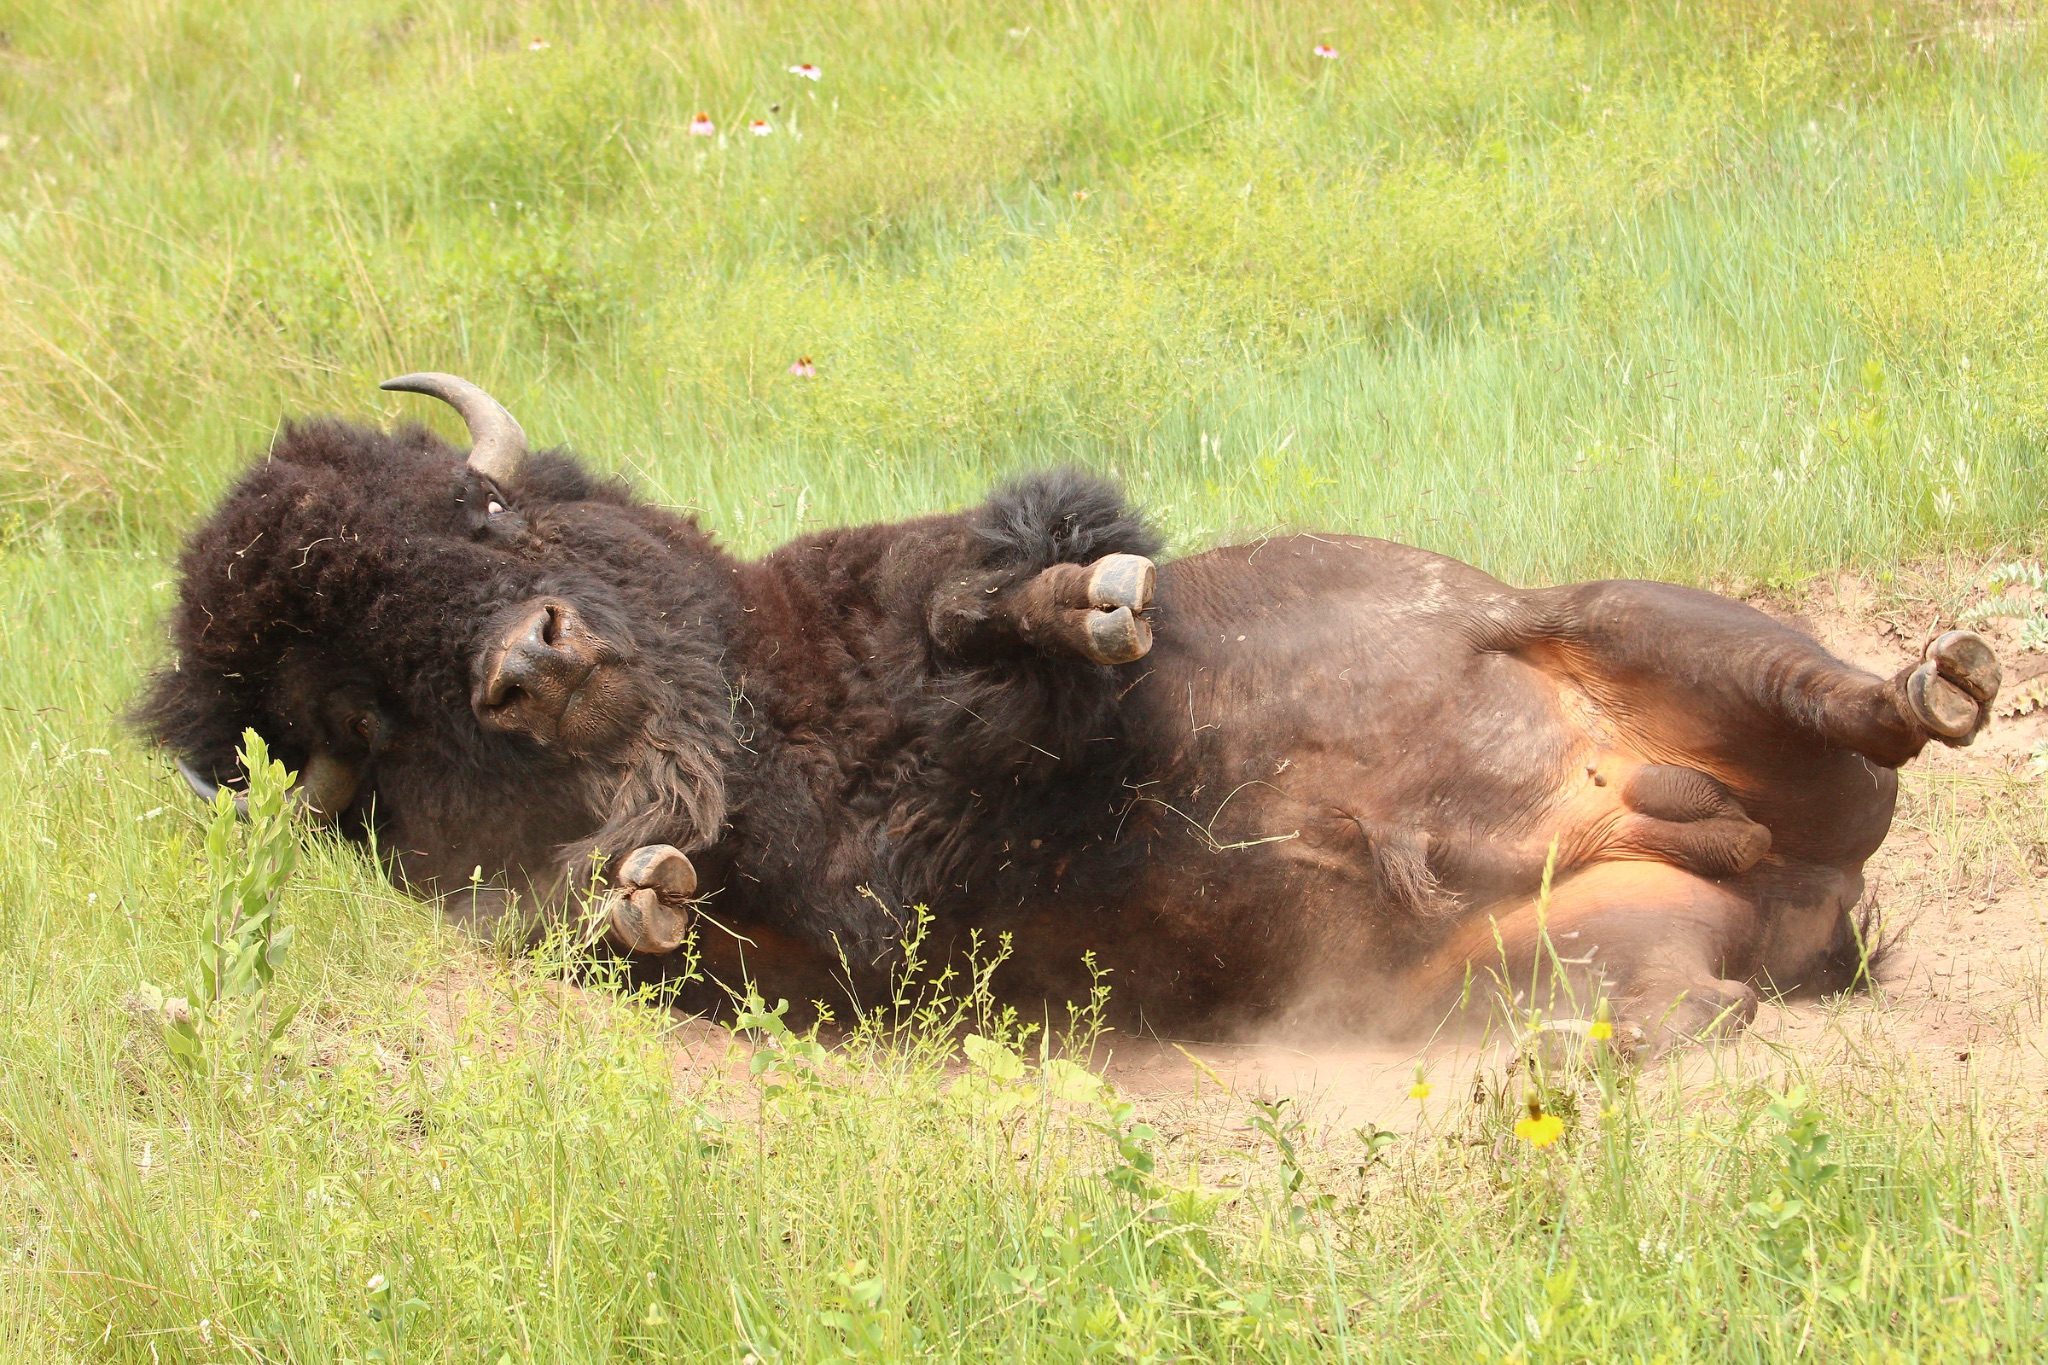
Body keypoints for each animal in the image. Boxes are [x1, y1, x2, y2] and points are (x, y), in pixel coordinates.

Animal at [140, 374, 2002, 1046]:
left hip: (1613, 619)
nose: (532, 664)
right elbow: (647, 930)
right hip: (1566, 956)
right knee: (1688, 1004)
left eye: (484, 519)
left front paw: (1091, 602)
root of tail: (1811, 896)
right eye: (358, 711)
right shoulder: (835, 969)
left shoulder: (926, 615)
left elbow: (1003, 596)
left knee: (1831, 701)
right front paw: (634, 886)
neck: (778, 739)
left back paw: (1943, 675)